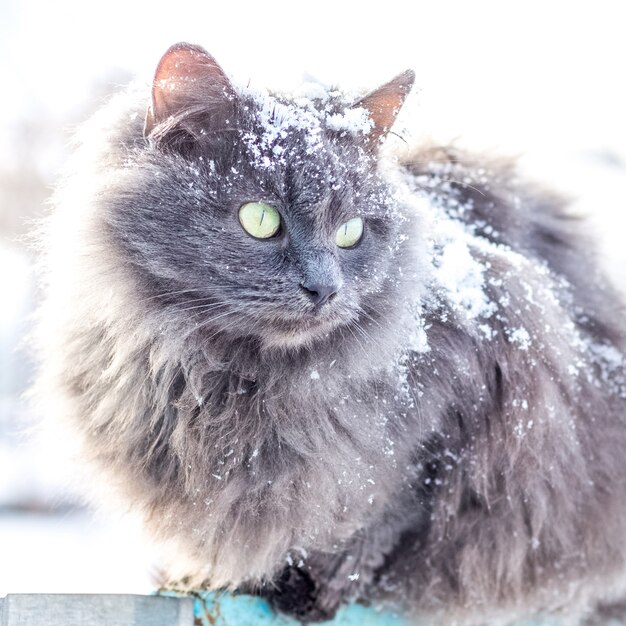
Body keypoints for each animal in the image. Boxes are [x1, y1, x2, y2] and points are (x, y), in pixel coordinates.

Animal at [36, 41, 624, 620]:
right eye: (260, 220)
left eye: (350, 232)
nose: (325, 288)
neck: (229, 379)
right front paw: (211, 577)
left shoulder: (482, 381)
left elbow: (392, 508)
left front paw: (324, 578)